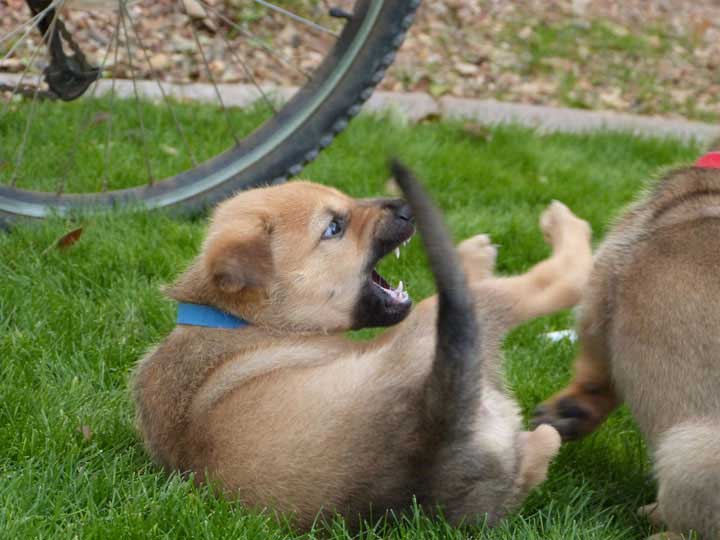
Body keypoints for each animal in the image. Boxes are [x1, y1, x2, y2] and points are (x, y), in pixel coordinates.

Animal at [132, 163, 592, 528]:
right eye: (334, 228)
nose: (406, 207)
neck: (241, 319)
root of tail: (437, 431)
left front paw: (473, 254)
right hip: (442, 322)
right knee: (553, 283)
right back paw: (568, 228)